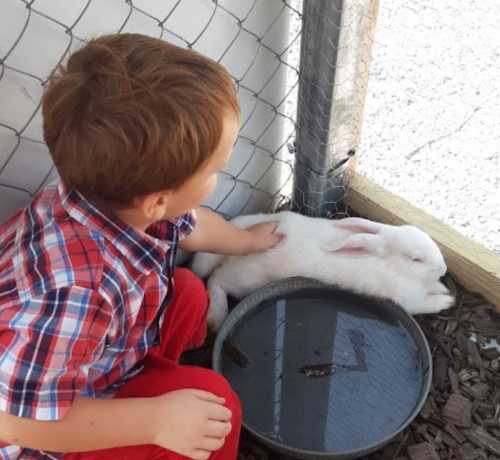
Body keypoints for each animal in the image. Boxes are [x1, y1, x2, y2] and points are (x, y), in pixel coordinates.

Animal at [190, 212, 454, 330]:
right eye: (416, 259)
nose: (443, 268)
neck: (393, 266)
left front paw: (442, 287)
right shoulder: (408, 301)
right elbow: (426, 304)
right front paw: (447, 301)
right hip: (246, 280)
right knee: (216, 280)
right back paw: (216, 316)